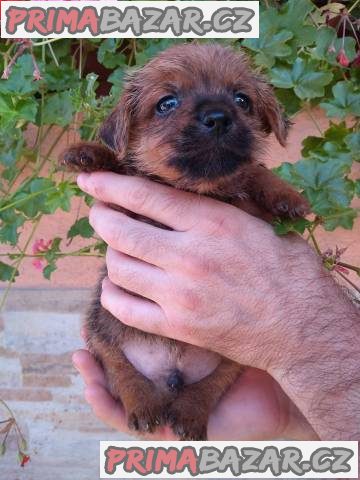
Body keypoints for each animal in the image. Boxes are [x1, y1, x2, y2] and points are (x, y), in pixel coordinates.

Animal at [59, 43, 310, 440]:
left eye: (242, 100)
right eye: (167, 103)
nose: (218, 117)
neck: (199, 190)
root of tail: (171, 374)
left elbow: (254, 171)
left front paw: (287, 196)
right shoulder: (126, 208)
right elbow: (122, 165)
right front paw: (90, 153)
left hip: (229, 360)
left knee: (211, 385)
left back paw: (189, 414)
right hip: (101, 331)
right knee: (119, 367)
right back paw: (143, 404)